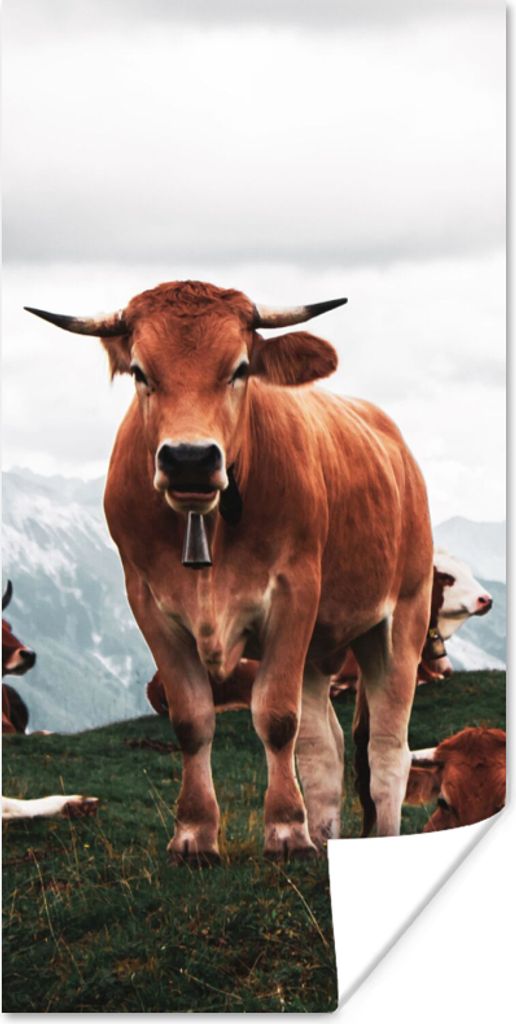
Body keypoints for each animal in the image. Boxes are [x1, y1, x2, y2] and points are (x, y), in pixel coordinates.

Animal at [26, 279, 433, 861]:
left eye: (240, 368)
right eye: (140, 372)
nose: (190, 459)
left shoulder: (294, 593)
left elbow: (276, 717)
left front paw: (285, 831)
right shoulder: (147, 603)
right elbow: (192, 719)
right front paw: (195, 834)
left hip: (402, 617)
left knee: (386, 748)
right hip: (318, 650)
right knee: (324, 747)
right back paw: (324, 834)